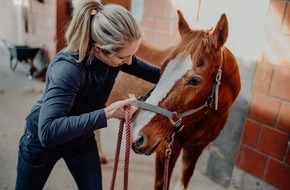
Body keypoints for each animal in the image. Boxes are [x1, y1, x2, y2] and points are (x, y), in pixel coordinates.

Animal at [130, 10, 241, 190]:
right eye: (162, 67)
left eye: (195, 81)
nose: (136, 134)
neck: (204, 119)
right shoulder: (167, 147)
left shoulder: (195, 149)